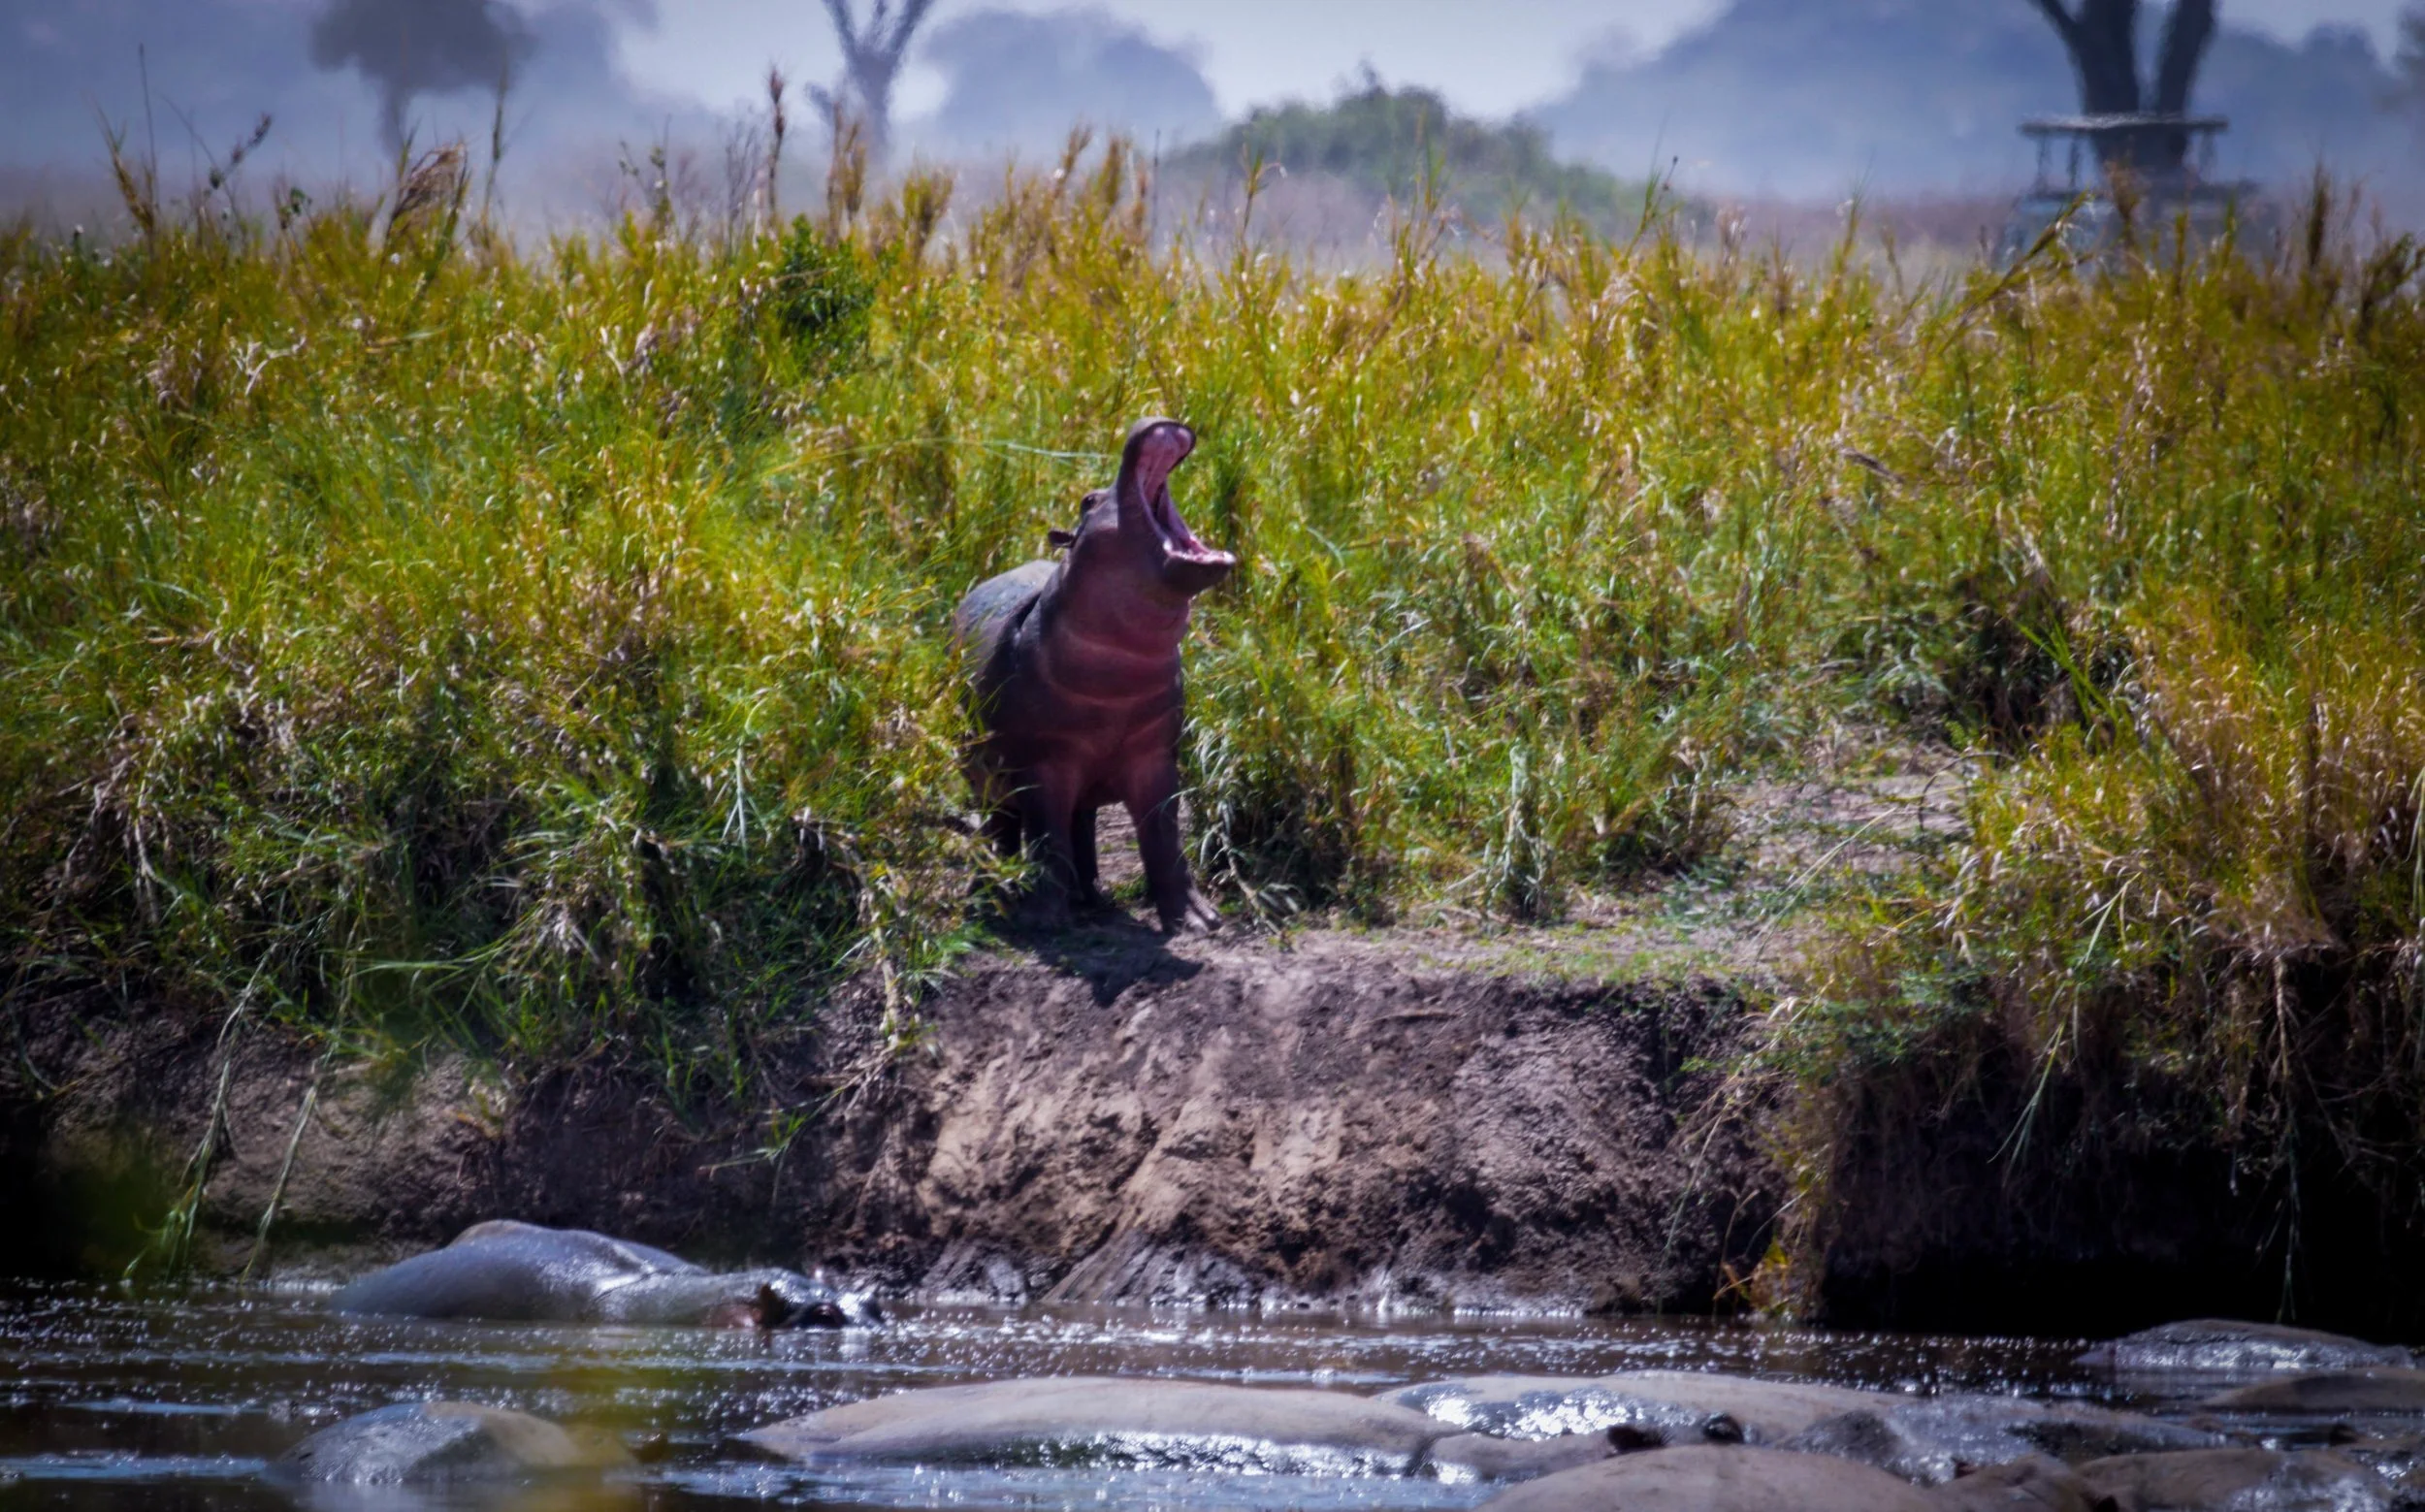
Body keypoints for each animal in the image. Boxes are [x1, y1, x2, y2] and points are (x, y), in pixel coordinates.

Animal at [951, 417, 1235, 933]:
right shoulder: (1043, 765)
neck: (1118, 672)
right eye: (1088, 500)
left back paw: (1091, 899)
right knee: (1000, 832)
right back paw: (991, 897)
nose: (1148, 419)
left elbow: (1164, 841)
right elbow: (1046, 841)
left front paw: (1200, 920)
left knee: (1079, 829)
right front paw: (1043, 921)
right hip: (986, 779)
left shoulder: (1155, 757)